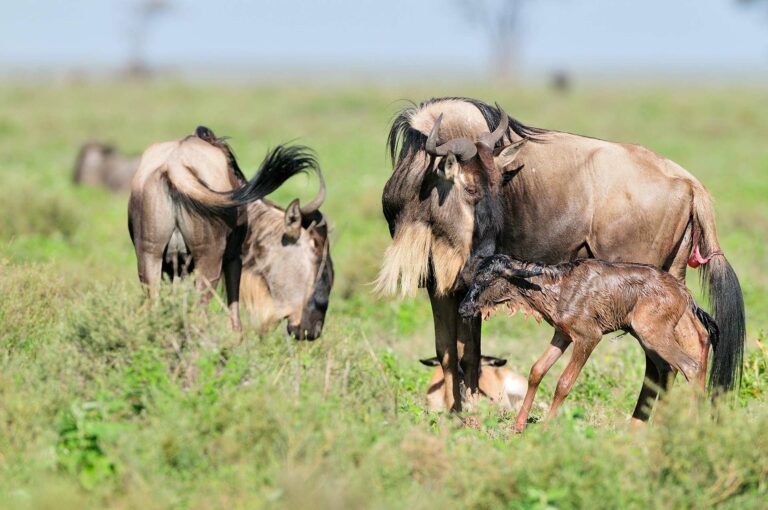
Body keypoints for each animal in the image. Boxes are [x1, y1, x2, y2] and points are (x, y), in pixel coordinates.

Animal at [462, 255, 720, 430]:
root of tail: (684, 292)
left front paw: (546, 427)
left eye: (486, 279)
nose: (463, 308)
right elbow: (537, 370)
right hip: (649, 338)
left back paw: (693, 424)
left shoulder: (588, 337)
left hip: (652, 334)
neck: (559, 287)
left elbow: (564, 383)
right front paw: (518, 425)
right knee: (669, 368)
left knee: (689, 366)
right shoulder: (562, 335)